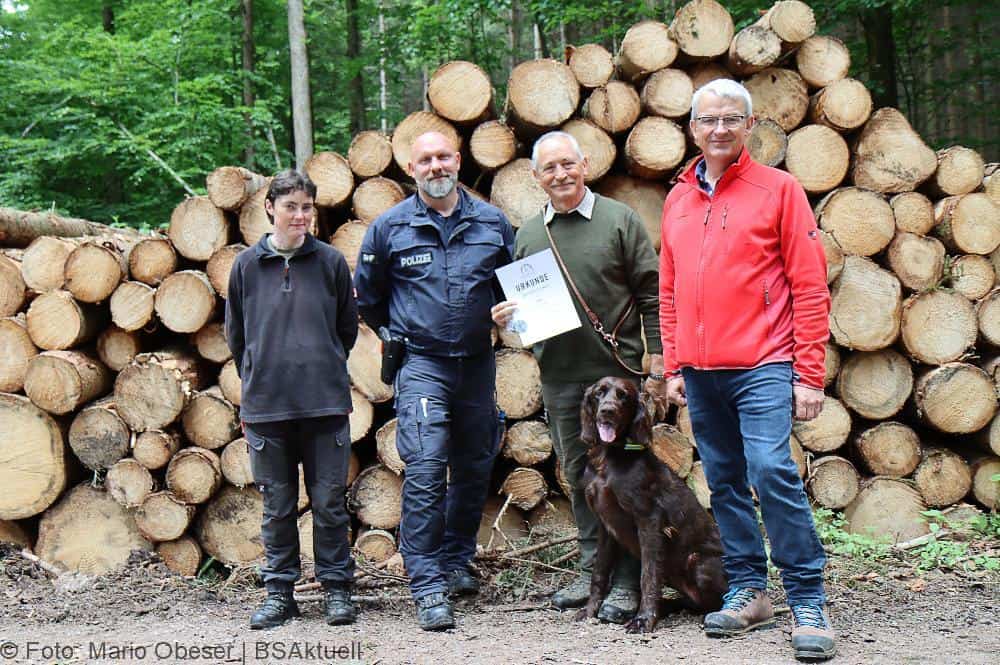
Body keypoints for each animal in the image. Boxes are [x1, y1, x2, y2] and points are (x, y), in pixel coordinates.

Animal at [572, 376, 728, 632]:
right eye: (599, 393)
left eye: (624, 395)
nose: (607, 411)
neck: (609, 458)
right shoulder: (605, 525)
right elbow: (599, 572)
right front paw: (589, 611)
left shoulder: (649, 519)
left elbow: (648, 575)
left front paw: (644, 619)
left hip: (698, 562)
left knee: (713, 601)